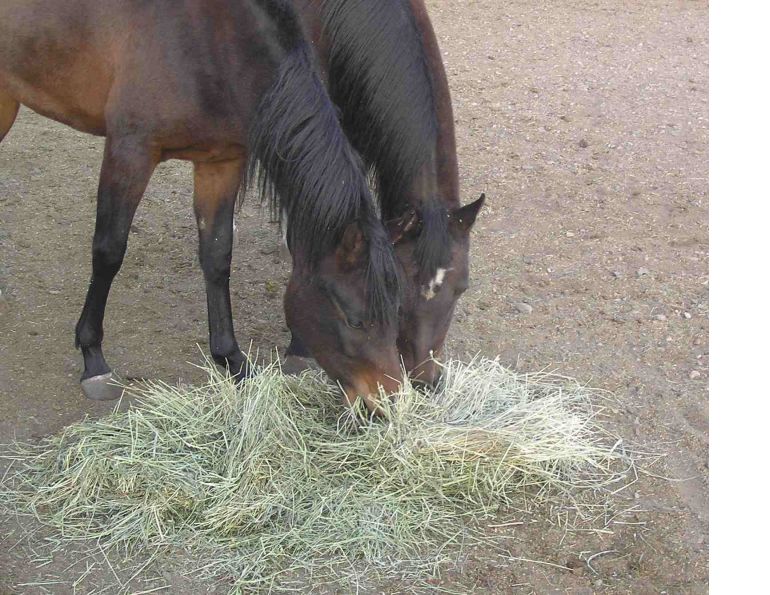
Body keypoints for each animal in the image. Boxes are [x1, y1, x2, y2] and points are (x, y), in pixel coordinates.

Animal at [0, 0, 403, 410]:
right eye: (355, 320)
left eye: (396, 310)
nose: (388, 401)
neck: (208, 40)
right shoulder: (130, 152)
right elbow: (109, 251)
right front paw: (93, 358)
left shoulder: (220, 163)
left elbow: (217, 255)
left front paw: (233, 359)